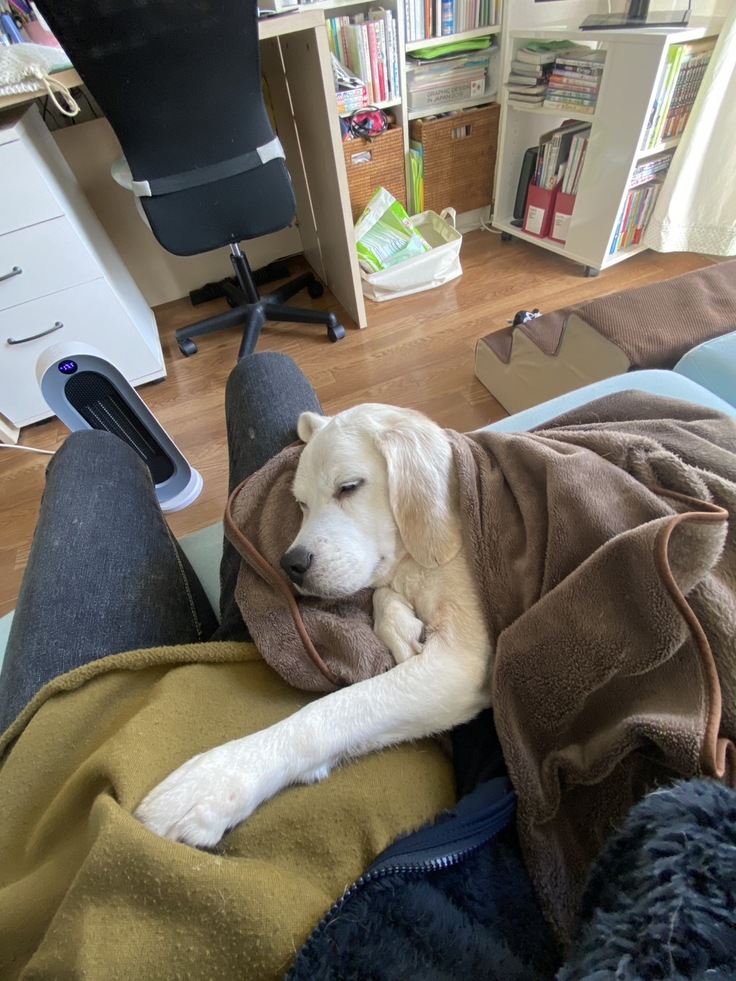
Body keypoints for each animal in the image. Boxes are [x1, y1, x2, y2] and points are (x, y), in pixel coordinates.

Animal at [135, 404, 492, 847]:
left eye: (349, 487)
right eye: (301, 504)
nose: (291, 564)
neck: (417, 562)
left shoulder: (461, 664)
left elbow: (329, 713)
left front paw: (218, 779)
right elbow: (380, 594)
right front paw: (401, 629)